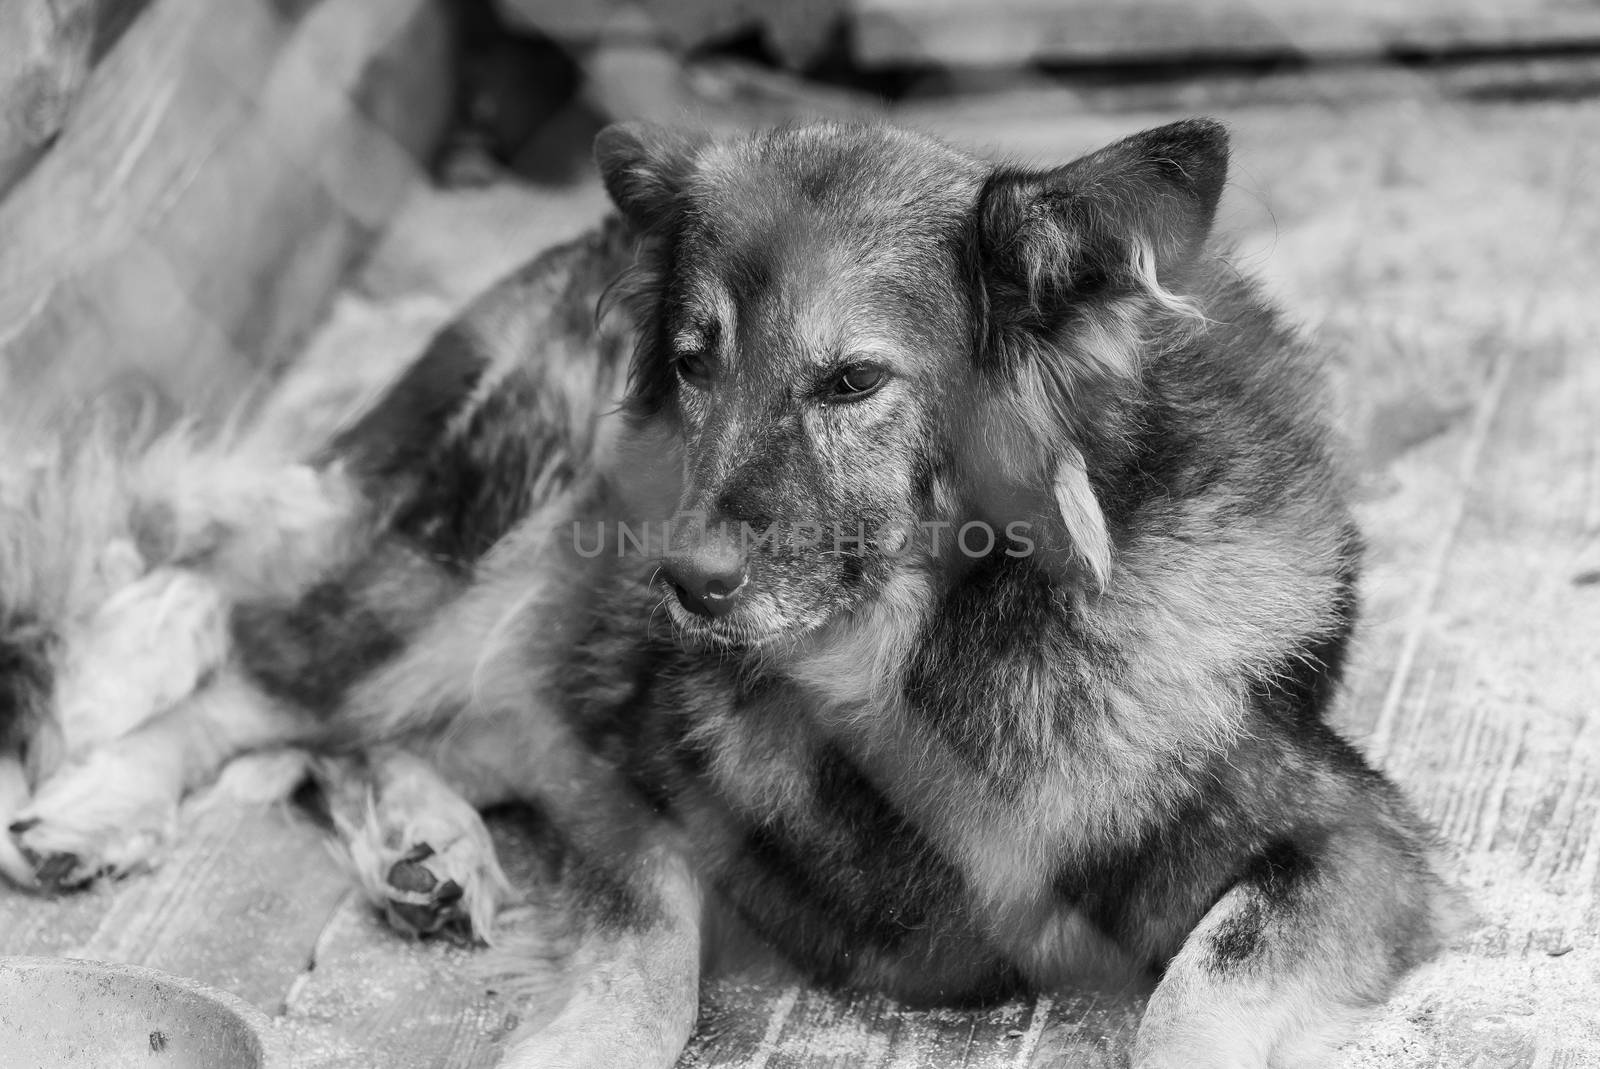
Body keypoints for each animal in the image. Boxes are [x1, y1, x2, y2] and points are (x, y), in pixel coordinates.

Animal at [3, 119, 1452, 1069]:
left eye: (853, 381)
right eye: (698, 362)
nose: (682, 581)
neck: (919, 664)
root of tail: (571, 247)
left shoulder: (1345, 841)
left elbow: (1195, 1000)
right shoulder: (635, 777)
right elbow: (640, 964)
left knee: (370, 734)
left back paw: (425, 847)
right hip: (494, 561)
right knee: (259, 676)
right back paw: (97, 807)